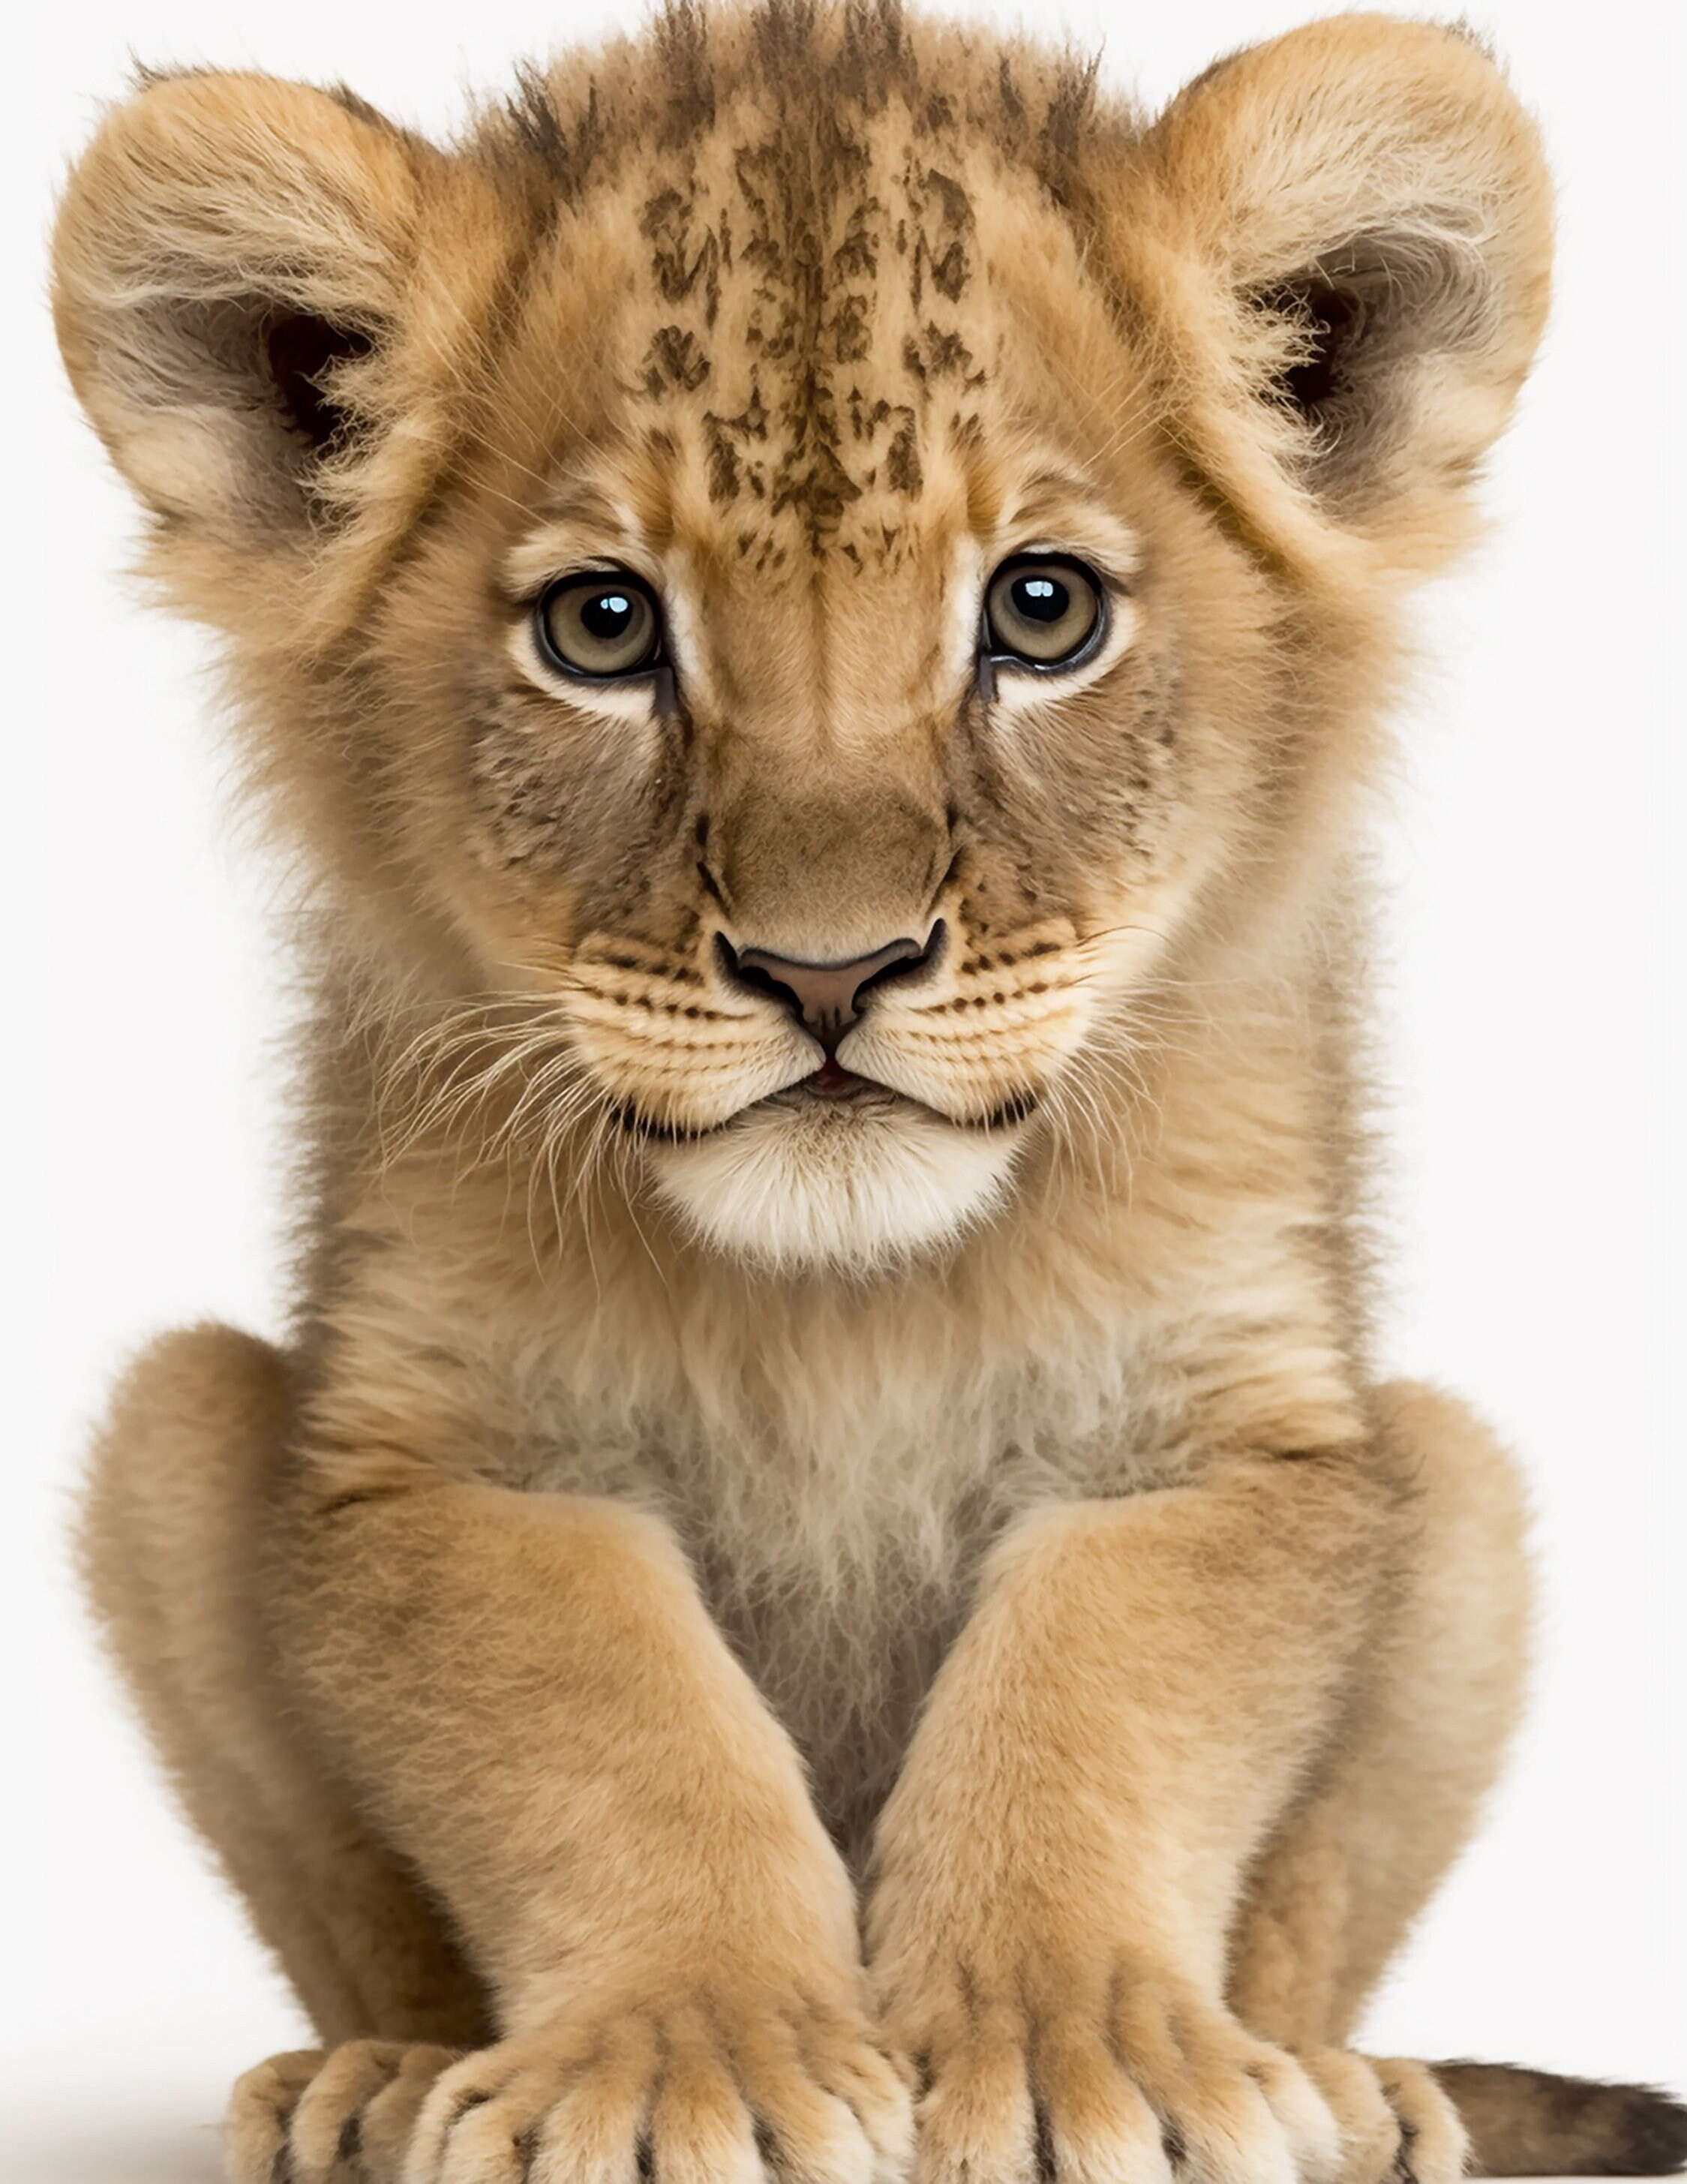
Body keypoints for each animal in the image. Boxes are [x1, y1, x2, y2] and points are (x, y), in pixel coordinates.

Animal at [51, 6, 1685, 2182]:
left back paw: (1343, 2085)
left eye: (1044, 610)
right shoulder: (451, 1450)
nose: (828, 971)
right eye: (602, 626)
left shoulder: (1216, 1432)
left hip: (1458, 1487)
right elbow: (613, 1728)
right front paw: (691, 2055)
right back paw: (368, 2082)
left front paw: (1086, 2058)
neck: (846, 1295)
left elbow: (1086, 1702)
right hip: (169, 1436)